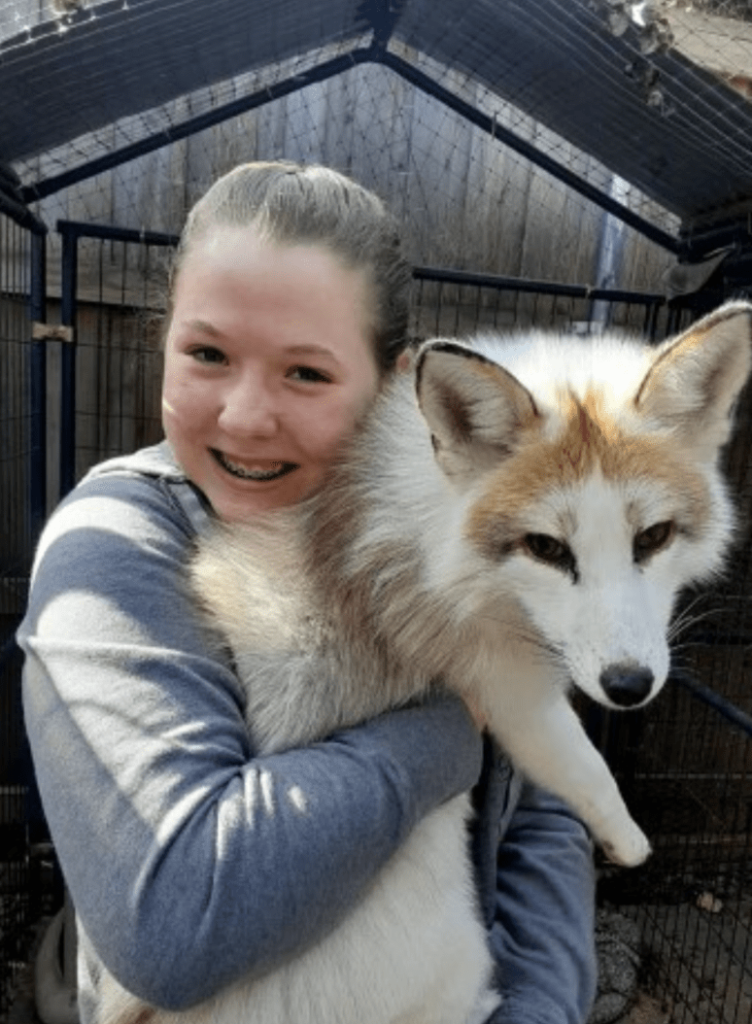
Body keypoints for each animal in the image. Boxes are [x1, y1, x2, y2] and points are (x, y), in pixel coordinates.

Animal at [100, 299, 752, 1024]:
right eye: (546, 548)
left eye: (654, 537)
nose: (630, 686)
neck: (436, 525)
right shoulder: (505, 687)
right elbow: (585, 766)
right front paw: (629, 840)